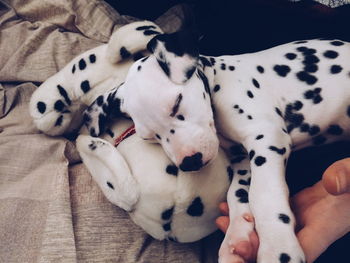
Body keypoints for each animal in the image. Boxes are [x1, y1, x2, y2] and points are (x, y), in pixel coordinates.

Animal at [84, 27, 350, 263]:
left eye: (176, 103)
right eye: (149, 136)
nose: (190, 162)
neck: (217, 81)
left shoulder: (267, 138)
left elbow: (263, 195)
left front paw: (278, 248)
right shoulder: (243, 159)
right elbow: (238, 194)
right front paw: (236, 238)